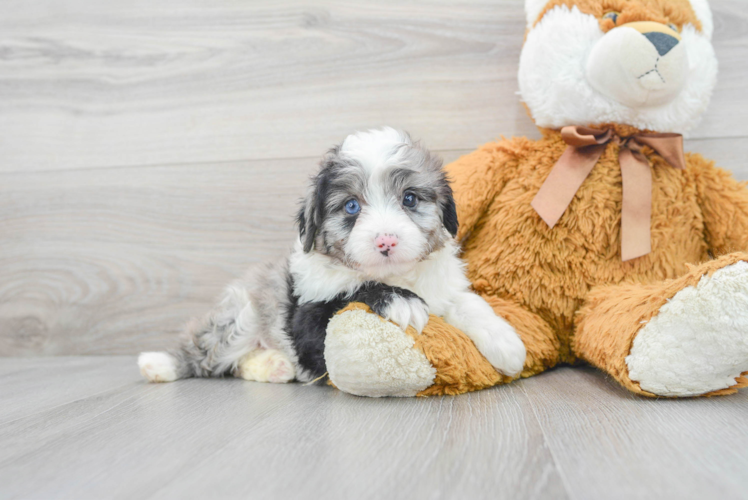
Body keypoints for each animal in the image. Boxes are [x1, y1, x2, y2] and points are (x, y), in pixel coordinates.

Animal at [140, 128, 524, 382]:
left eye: (410, 198)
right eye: (351, 206)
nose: (386, 242)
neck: (394, 275)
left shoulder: (443, 287)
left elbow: (469, 303)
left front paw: (507, 345)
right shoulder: (306, 318)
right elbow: (349, 294)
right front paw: (398, 300)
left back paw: (275, 366)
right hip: (241, 316)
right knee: (206, 352)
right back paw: (160, 364)